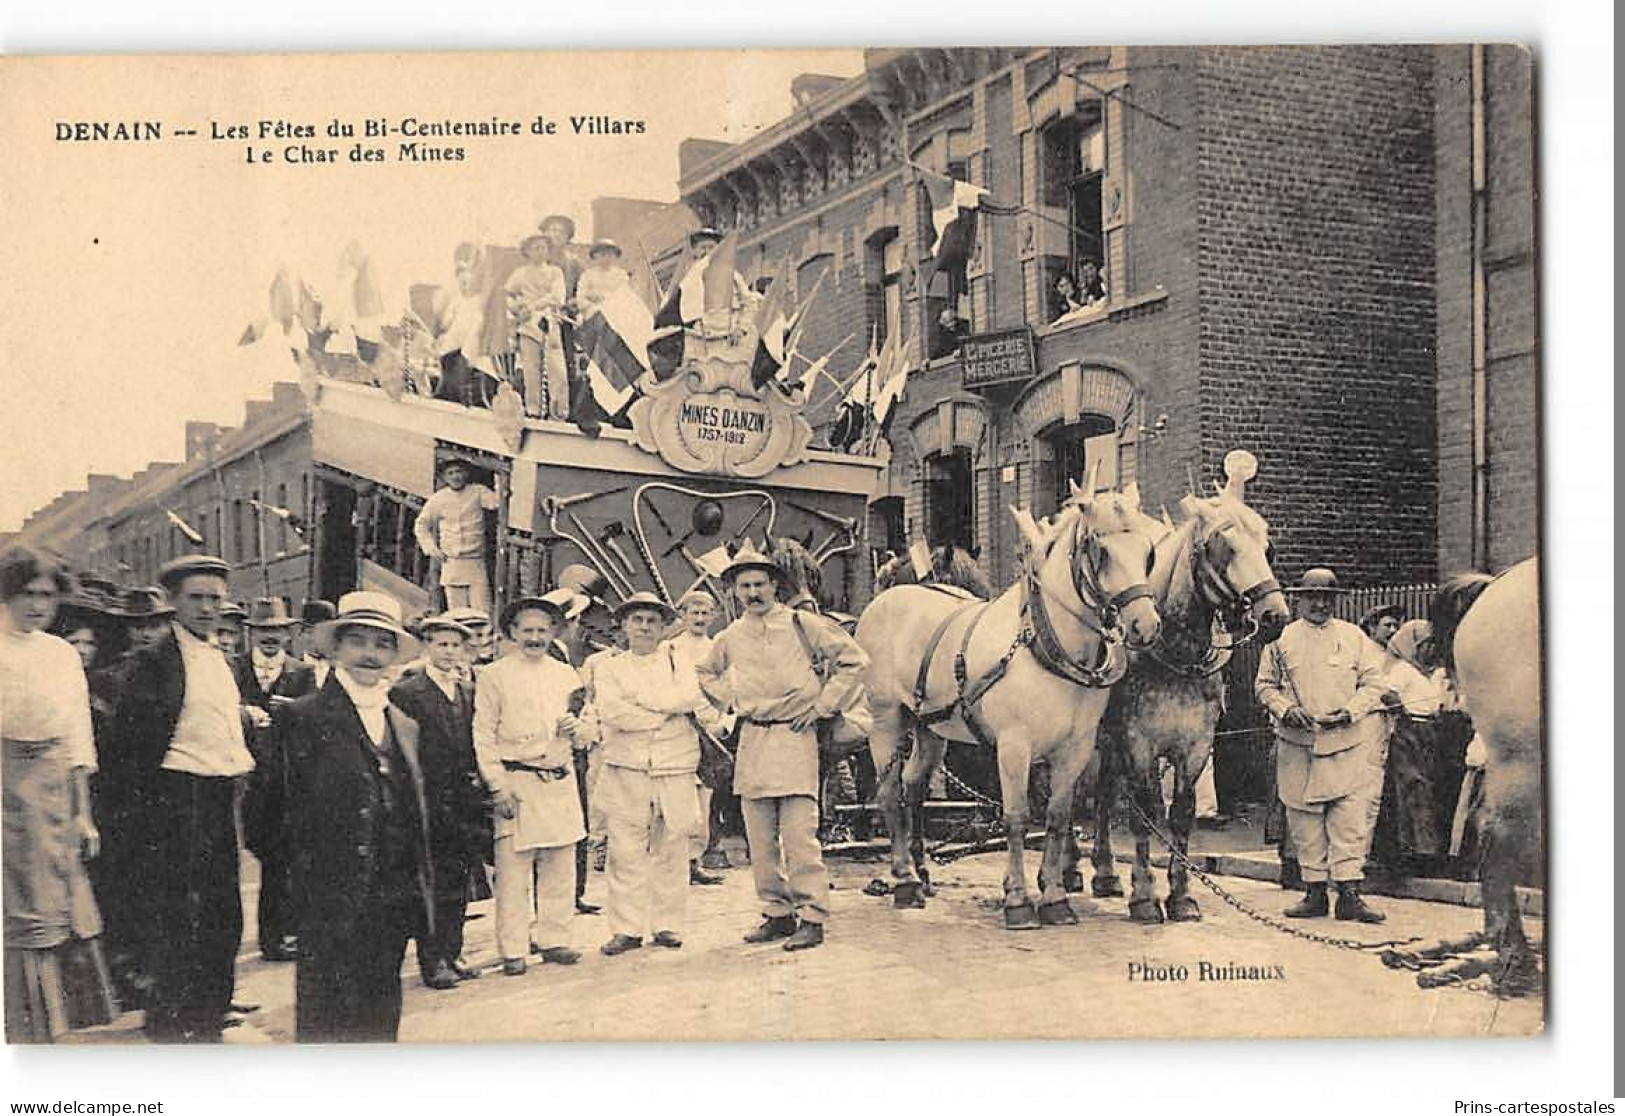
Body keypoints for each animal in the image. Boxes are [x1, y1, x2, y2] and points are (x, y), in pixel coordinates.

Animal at [858, 487, 1163, 935]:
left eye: (1148, 551)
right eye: (1101, 550)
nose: (1145, 625)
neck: (1043, 642)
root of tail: (882, 601)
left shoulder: (1075, 749)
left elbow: (1057, 817)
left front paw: (1055, 899)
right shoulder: (1014, 747)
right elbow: (1017, 818)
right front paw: (1018, 901)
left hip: (931, 728)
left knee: (913, 787)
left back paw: (922, 872)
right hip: (885, 722)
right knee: (890, 795)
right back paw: (905, 882)